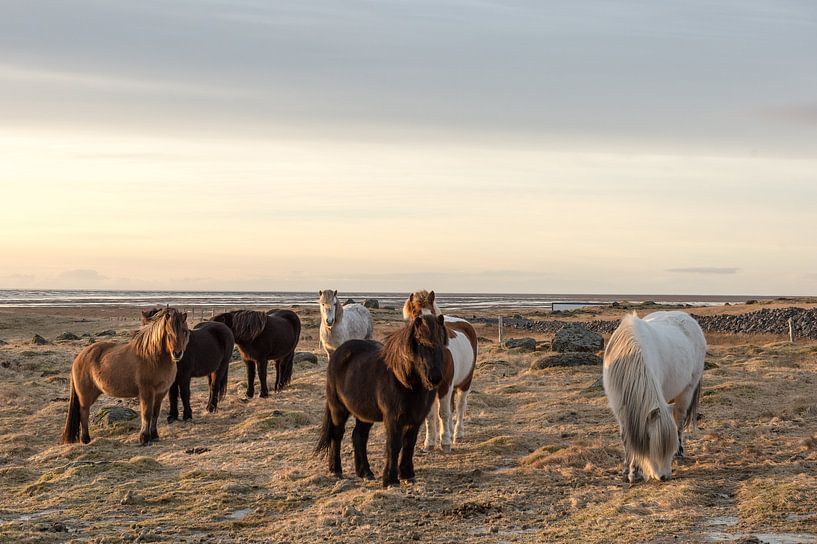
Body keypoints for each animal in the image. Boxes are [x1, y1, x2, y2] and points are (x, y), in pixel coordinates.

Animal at [314, 312, 446, 486]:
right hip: (338, 409)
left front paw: (407, 475)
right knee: (337, 435)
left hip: (364, 414)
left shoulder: (416, 419)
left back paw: (365, 472)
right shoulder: (393, 418)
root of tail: (338, 353)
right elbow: (394, 445)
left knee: (359, 437)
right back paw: (336, 470)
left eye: (442, 343)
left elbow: (409, 444)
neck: (402, 379)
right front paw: (391, 480)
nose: (435, 378)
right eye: (421, 342)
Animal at [404, 288, 478, 450]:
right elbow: (431, 415)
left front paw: (445, 443)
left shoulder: (445, 385)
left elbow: (443, 413)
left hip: (465, 382)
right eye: (415, 316)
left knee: (460, 406)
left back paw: (457, 434)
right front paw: (429, 442)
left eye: (432, 313)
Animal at [604, 308, 704, 482]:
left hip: (687, 391)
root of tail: (688, 317)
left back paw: (680, 453)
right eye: (652, 444)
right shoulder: (619, 408)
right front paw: (627, 470)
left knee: (679, 422)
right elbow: (626, 437)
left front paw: (634, 471)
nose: (665, 476)